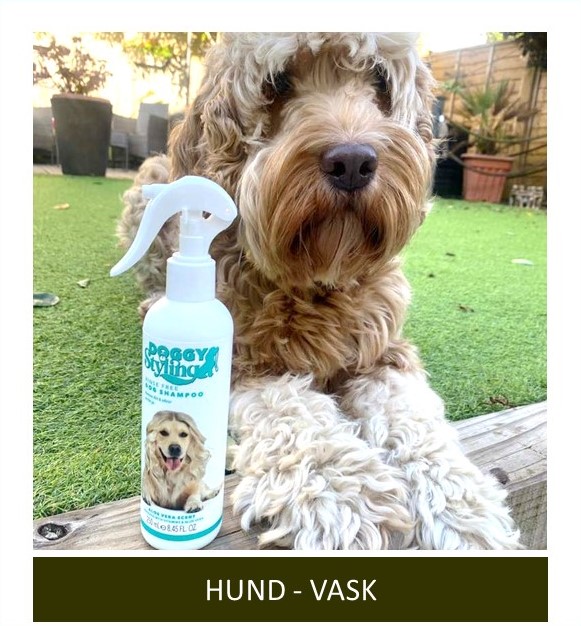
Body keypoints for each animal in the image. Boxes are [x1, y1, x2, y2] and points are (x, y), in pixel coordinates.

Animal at [119, 33, 521, 549]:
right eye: (277, 82)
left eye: (379, 79)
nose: (352, 161)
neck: (318, 280)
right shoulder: (247, 364)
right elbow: (293, 415)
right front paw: (341, 497)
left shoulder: (385, 353)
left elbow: (412, 418)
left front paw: (461, 507)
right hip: (143, 198)